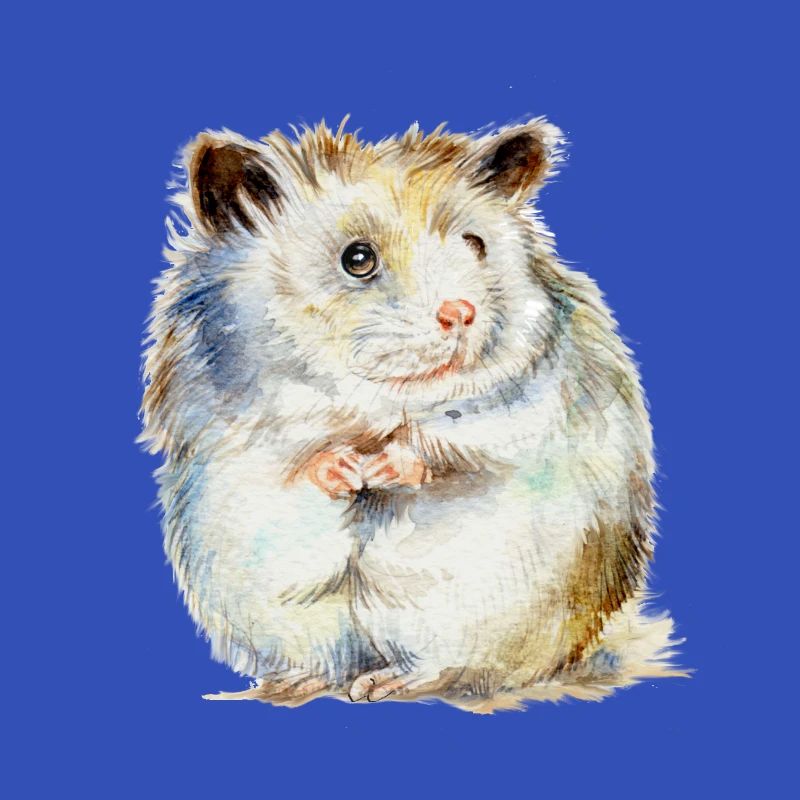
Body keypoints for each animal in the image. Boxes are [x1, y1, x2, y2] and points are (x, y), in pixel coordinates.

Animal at [141, 118, 682, 711]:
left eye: (475, 244)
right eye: (357, 259)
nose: (462, 313)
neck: (375, 397)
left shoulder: (530, 399)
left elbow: (460, 437)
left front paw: (381, 468)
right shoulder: (231, 415)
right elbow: (290, 453)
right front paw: (345, 471)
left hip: (471, 608)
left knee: (451, 667)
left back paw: (380, 685)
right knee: (329, 661)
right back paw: (291, 684)